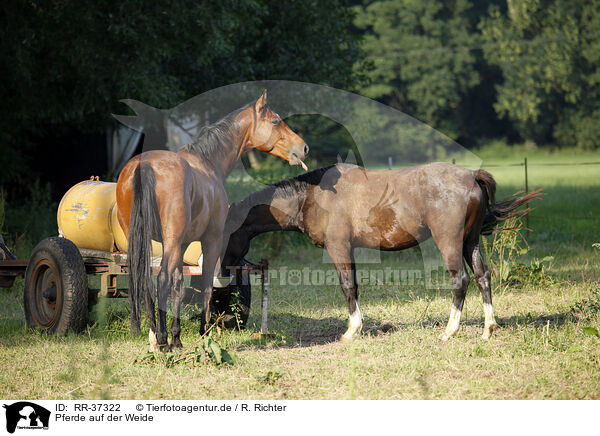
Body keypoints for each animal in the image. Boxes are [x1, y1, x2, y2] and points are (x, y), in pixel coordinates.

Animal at [116, 91, 308, 350]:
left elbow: (178, 286)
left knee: (146, 282)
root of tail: (145, 165)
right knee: (161, 280)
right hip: (171, 242)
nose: (304, 148)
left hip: (141, 242)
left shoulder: (182, 244)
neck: (208, 162)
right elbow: (206, 285)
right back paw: (162, 339)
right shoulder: (212, 241)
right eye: (275, 121)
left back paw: (155, 336)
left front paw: (177, 337)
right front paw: (202, 333)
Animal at [223, 163, 540, 340]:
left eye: (224, 234)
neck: (312, 196)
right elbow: (355, 286)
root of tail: (472, 176)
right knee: (483, 277)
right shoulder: (348, 249)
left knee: (460, 280)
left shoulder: (338, 248)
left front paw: (352, 331)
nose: (224, 272)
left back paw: (449, 331)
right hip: (469, 241)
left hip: (450, 242)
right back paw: (488, 328)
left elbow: (347, 287)